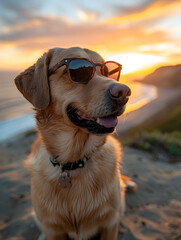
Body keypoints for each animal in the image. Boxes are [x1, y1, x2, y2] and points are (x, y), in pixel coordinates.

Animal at [14, 47, 132, 240]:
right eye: (80, 70)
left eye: (108, 72)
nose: (124, 92)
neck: (73, 162)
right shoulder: (53, 229)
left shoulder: (110, 223)